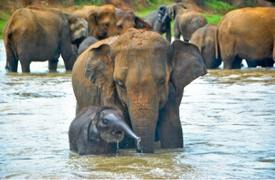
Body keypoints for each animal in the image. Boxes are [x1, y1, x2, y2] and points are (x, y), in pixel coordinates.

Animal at [72, 28, 208, 153]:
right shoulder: (107, 91)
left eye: (162, 81)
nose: (139, 146)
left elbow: (172, 131)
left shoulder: (173, 92)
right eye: (120, 83)